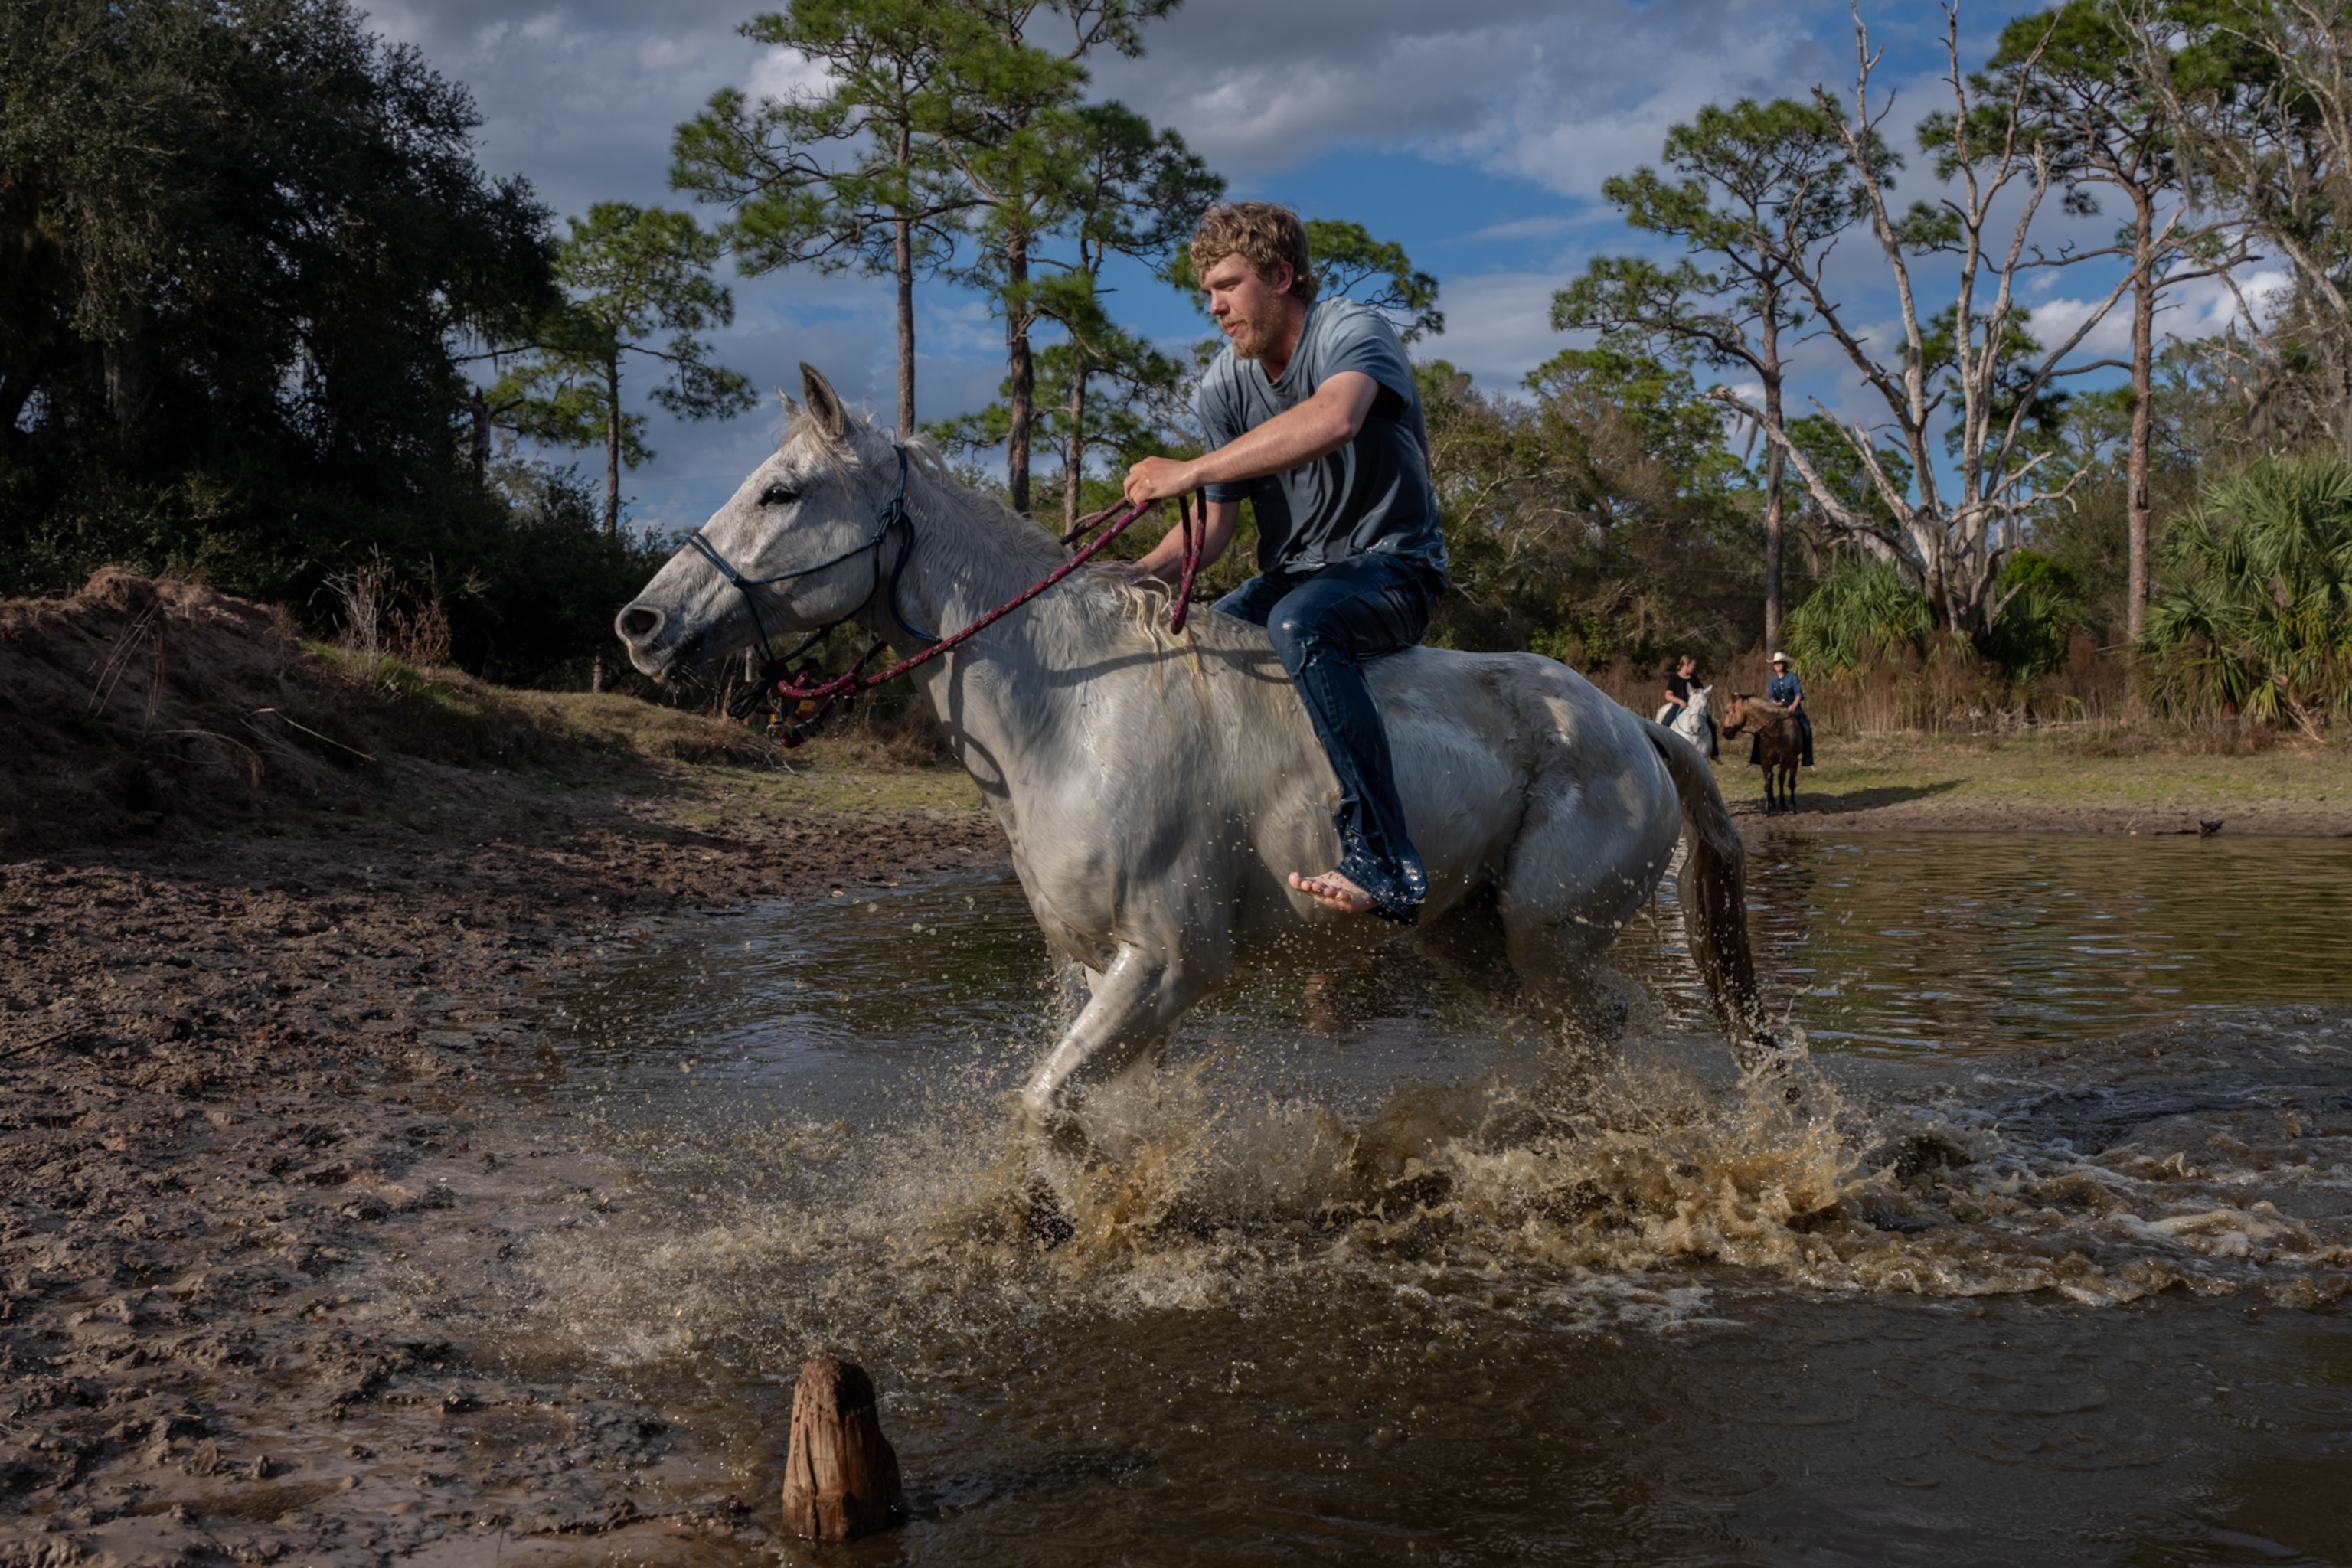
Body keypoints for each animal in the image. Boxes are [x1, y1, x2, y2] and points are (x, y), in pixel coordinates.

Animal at [614, 365, 1776, 1143]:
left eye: (782, 491)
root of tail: (1633, 728)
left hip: (1547, 933)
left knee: (1599, 1023)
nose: (641, 623)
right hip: (1473, 938)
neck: (1074, 710)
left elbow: (1043, 1106)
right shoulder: (1113, 972)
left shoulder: (1172, 961)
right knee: (1578, 1033)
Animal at [1720, 694, 1803, 814]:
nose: (1725, 733)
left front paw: (1792, 807)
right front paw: (1768, 808)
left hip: (1784, 762)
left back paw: (1782, 803)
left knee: (1781, 779)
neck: (1777, 731)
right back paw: (1773, 802)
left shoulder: (1792, 760)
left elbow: (1791, 783)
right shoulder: (1766, 761)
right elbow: (1768, 784)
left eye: (1727, 711)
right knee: (1772, 778)